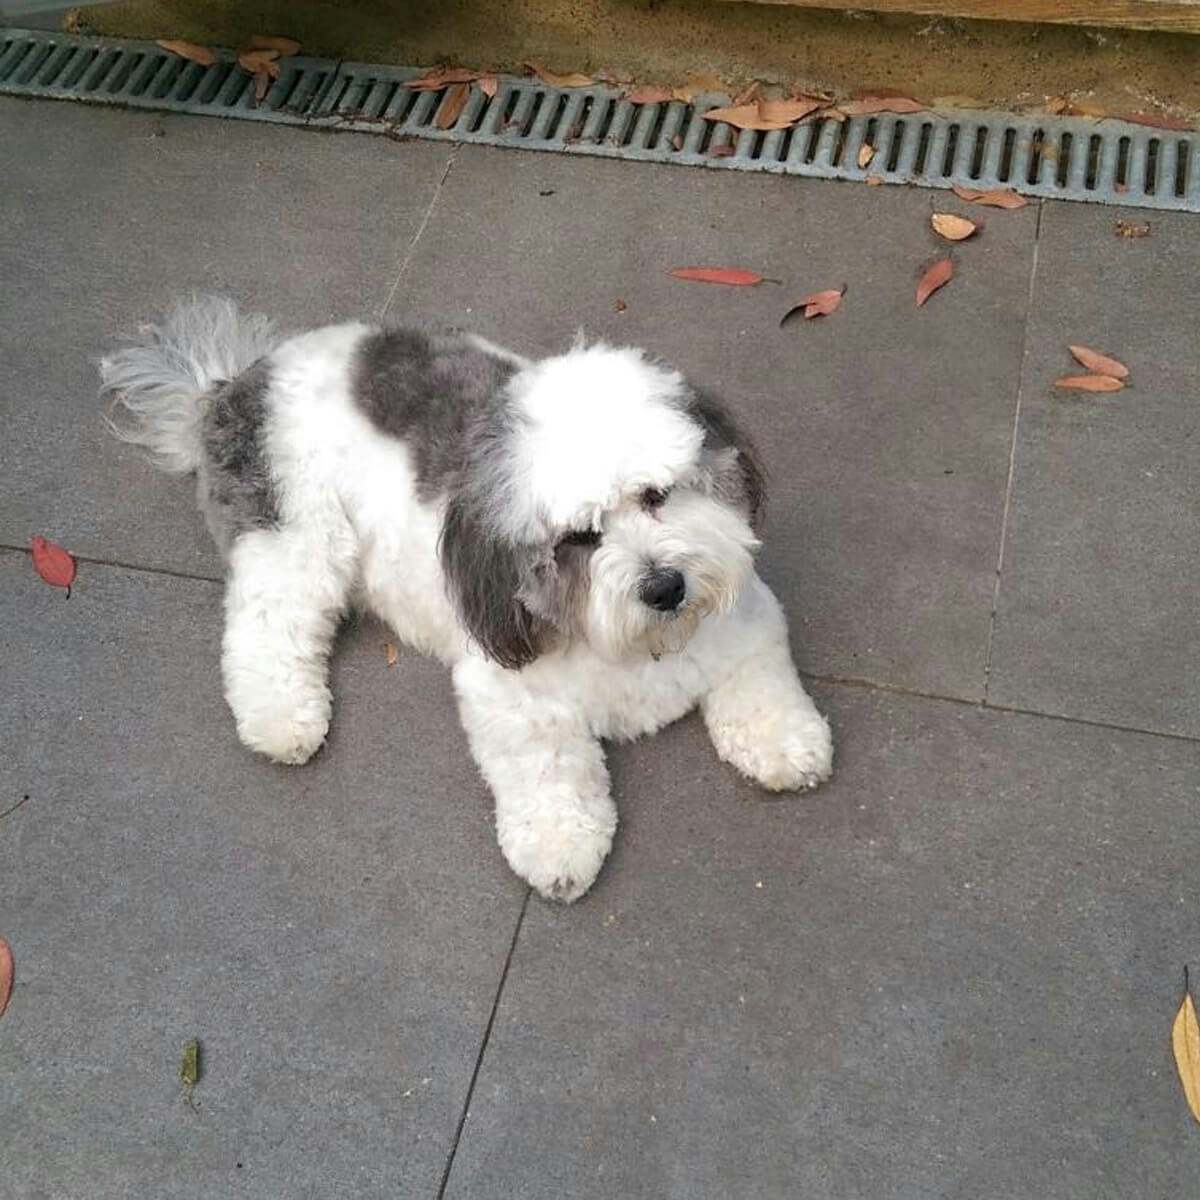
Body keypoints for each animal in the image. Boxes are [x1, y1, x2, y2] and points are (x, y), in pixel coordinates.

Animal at [100, 297, 835, 902]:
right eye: (579, 537)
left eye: (657, 495)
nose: (665, 586)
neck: (639, 648)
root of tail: (231, 386)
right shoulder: (506, 689)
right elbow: (546, 766)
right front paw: (560, 844)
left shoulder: (746, 619)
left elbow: (761, 685)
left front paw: (783, 742)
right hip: (295, 536)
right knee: (268, 625)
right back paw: (283, 719)